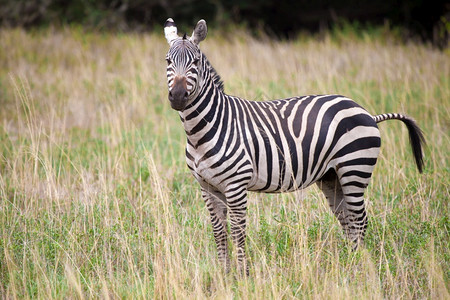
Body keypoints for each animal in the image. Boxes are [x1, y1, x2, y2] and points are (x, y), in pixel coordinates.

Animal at [163, 17, 424, 274]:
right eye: (167, 61)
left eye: (195, 62)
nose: (177, 97)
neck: (202, 132)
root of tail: (367, 112)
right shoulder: (206, 187)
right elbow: (218, 232)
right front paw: (224, 275)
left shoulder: (236, 185)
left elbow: (238, 232)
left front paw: (243, 275)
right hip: (332, 176)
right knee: (348, 220)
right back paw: (349, 265)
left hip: (355, 168)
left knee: (360, 220)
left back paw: (359, 268)